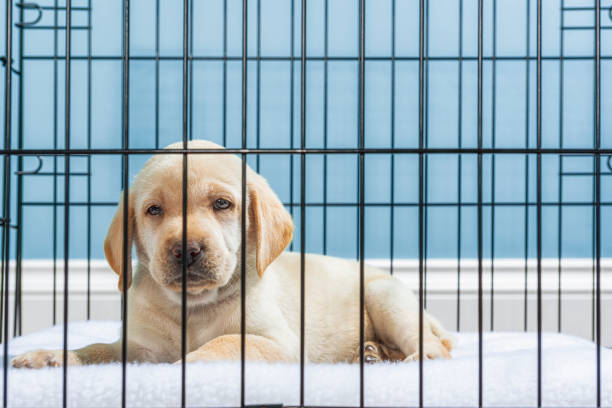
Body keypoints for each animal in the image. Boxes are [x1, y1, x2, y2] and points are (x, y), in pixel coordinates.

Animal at [11, 140, 454, 366]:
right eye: (154, 211)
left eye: (222, 204)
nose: (186, 249)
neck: (192, 307)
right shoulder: (139, 349)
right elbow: (99, 350)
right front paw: (53, 355)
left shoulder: (277, 344)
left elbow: (223, 344)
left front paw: (184, 367)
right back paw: (372, 353)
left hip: (386, 297)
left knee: (433, 345)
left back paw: (413, 359)